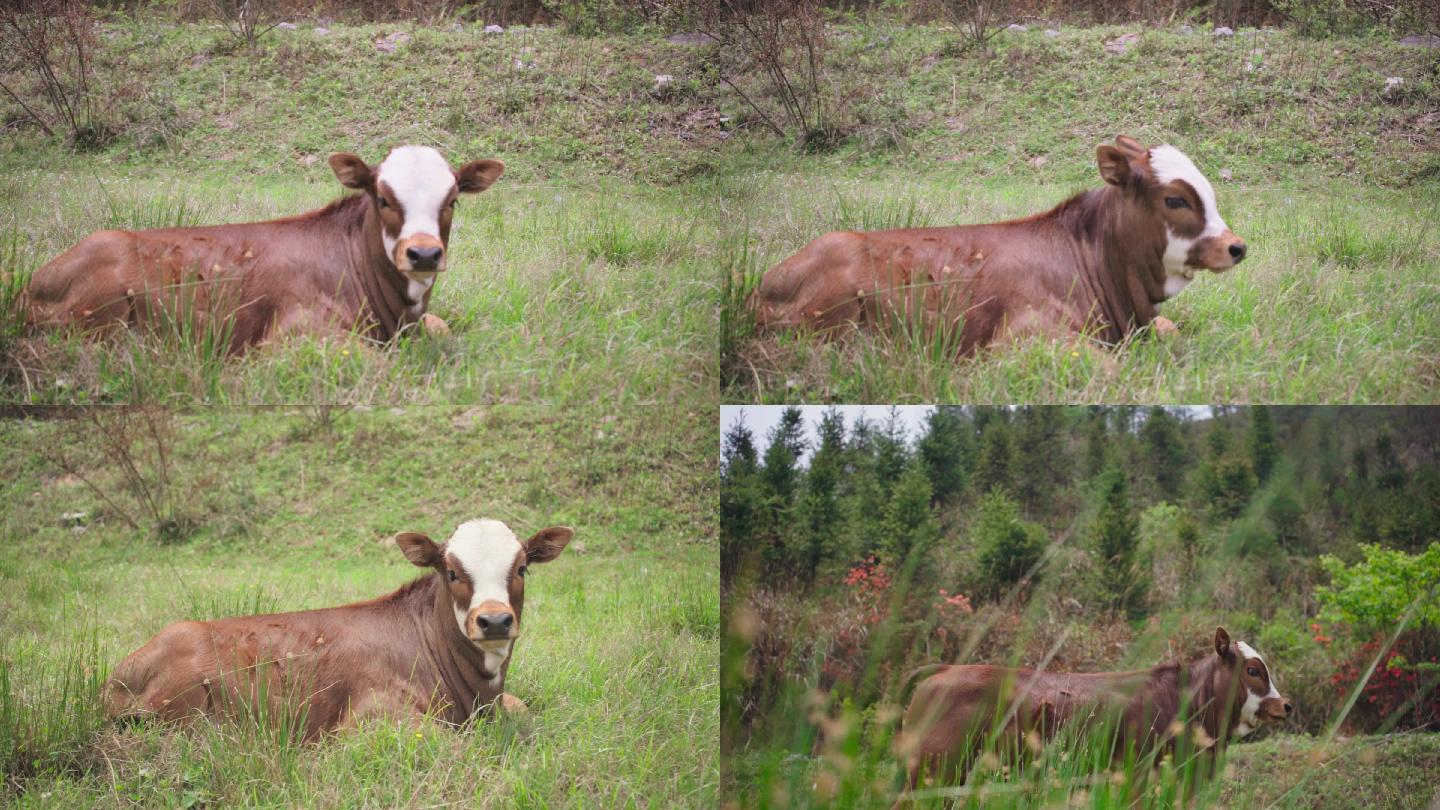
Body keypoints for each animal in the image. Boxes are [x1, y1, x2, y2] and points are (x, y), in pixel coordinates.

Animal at [104, 515, 573, 737]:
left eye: (522, 569)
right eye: (453, 573)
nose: (494, 620)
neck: (476, 696)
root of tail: (124, 670)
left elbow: (523, 707)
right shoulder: (373, 719)